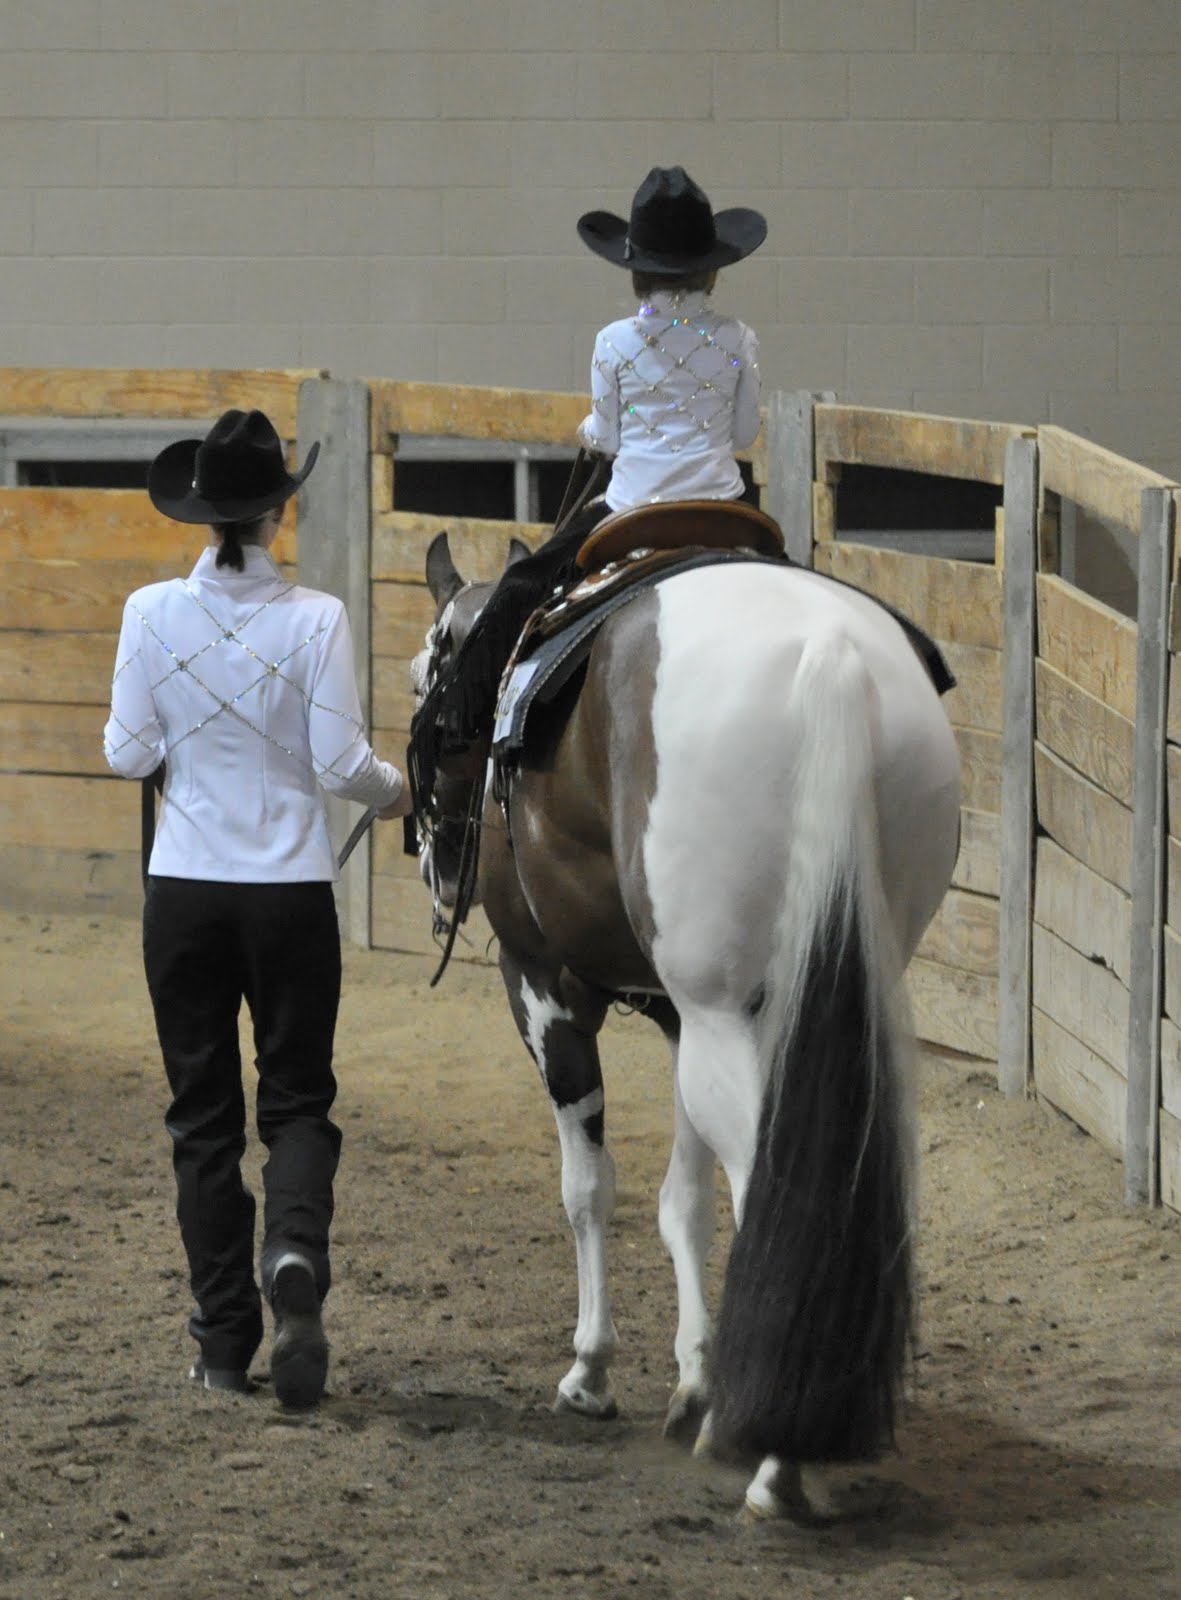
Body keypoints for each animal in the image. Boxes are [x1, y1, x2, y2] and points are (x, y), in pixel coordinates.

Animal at [410, 528, 962, 1520]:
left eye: (423, 677)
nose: (434, 870)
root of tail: (827, 655)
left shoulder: (545, 987)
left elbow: (590, 1188)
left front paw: (590, 1372)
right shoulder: (683, 1013)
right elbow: (683, 1199)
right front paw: (697, 1383)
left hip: (699, 1007)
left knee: (763, 1181)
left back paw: (777, 1466)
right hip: (794, 988)